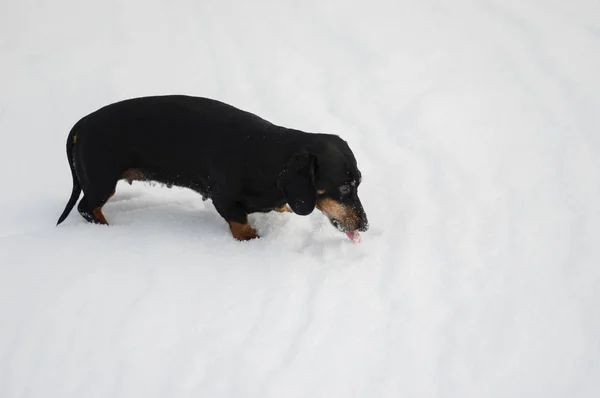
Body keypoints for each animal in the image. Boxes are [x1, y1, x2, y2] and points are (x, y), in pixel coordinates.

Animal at [56, 95, 368, 241]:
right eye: (344, 186)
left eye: (359, 182)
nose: (365, 226)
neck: (267, 157)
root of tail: (84, 123)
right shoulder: (224, 199)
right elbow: (240, 224)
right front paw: (253, 241)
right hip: (101, 182)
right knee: (86, 208)